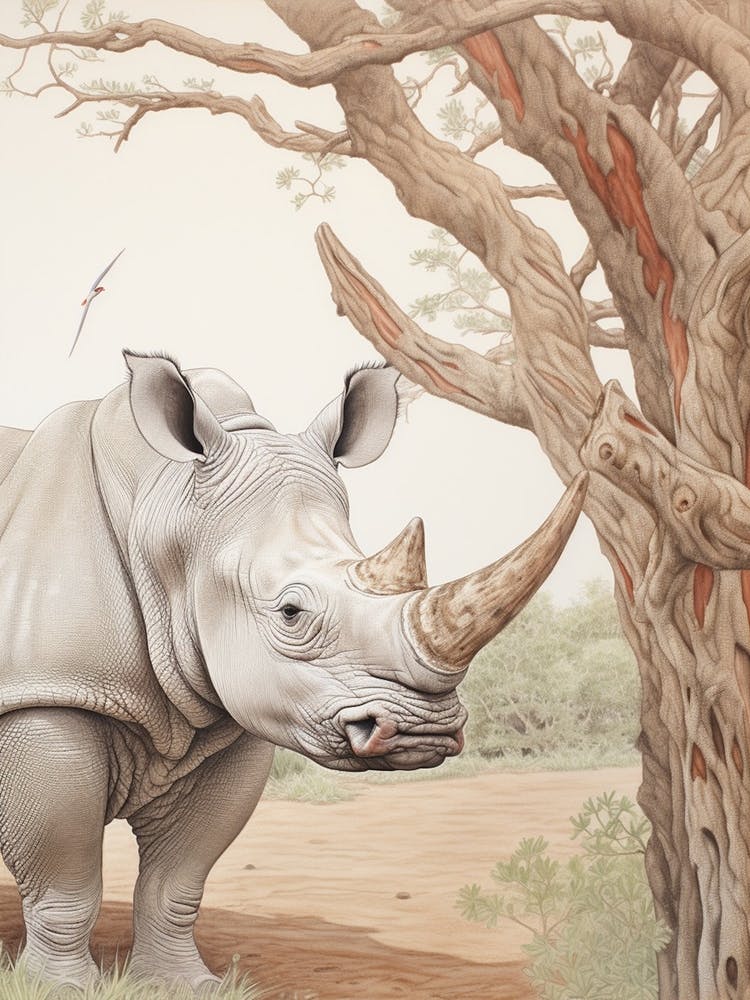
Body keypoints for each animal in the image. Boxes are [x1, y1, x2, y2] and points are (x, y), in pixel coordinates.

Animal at [0, 351, 586, 989]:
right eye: (290, 612)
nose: (422, 731)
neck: (164, 516)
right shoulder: (47, 695)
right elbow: (65, 878)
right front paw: (58, 989)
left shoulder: (231, 712)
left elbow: (178, 879)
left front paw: (187, 986)